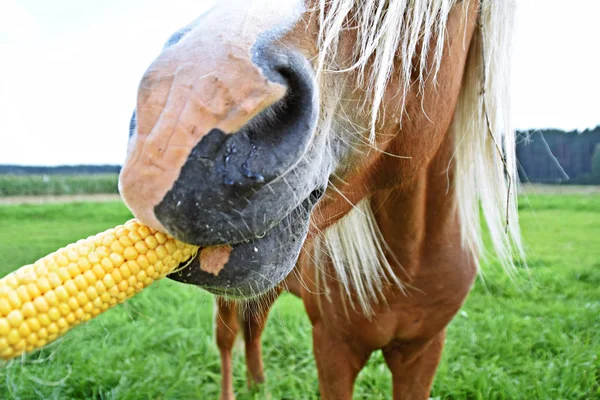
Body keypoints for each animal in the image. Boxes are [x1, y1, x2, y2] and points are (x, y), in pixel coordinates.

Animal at [119, 1, 524, 398]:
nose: (176, 116)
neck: (407, 262)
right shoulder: (333, 347)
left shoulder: (422, 351)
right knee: (227, 339)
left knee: (254, 326)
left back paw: (259, 385)